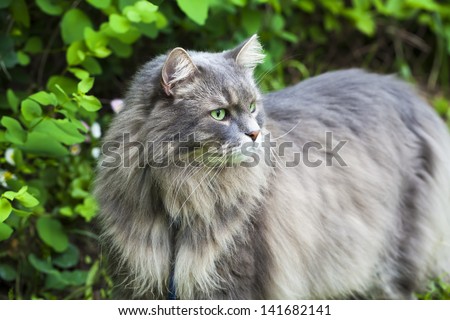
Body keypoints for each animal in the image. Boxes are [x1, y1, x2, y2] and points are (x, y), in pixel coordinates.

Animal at [95, 36, 450, 298]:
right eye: (220, 114)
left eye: (252, 107)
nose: (255, 133)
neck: (178, 202)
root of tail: (410, 95)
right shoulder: (140, 278)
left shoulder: (234, 278)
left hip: (393, 258)